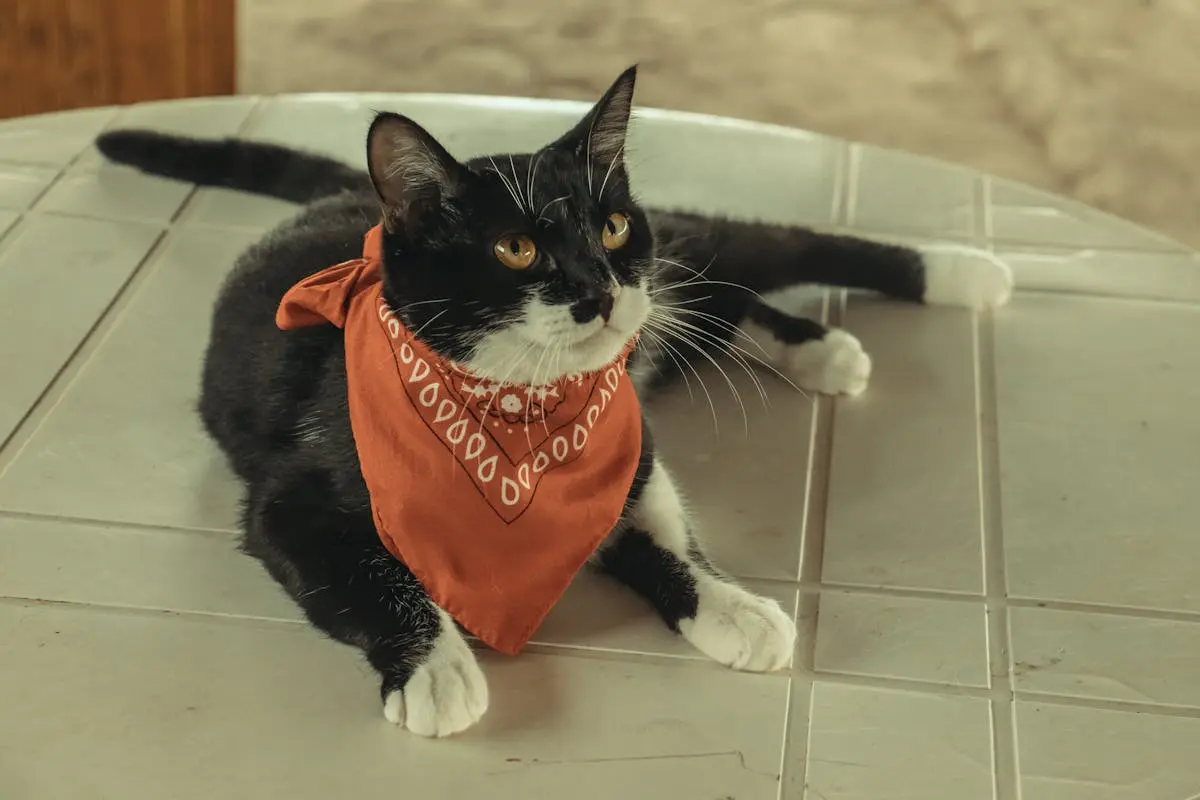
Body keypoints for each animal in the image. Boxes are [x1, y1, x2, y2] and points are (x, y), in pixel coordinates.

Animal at [96, 67, 1012, 738]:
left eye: (610, 228)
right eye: (515, 247)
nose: (601, 291)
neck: (521, 411)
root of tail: (351, 200)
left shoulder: (626, 443)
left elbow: (656, 519)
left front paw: (732, 604)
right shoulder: (293, 497)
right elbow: (365, 571)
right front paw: (438, 670)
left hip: (677, 255)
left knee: (777, 251)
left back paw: (962, 272)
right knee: (725, 309)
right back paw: (821, 347)